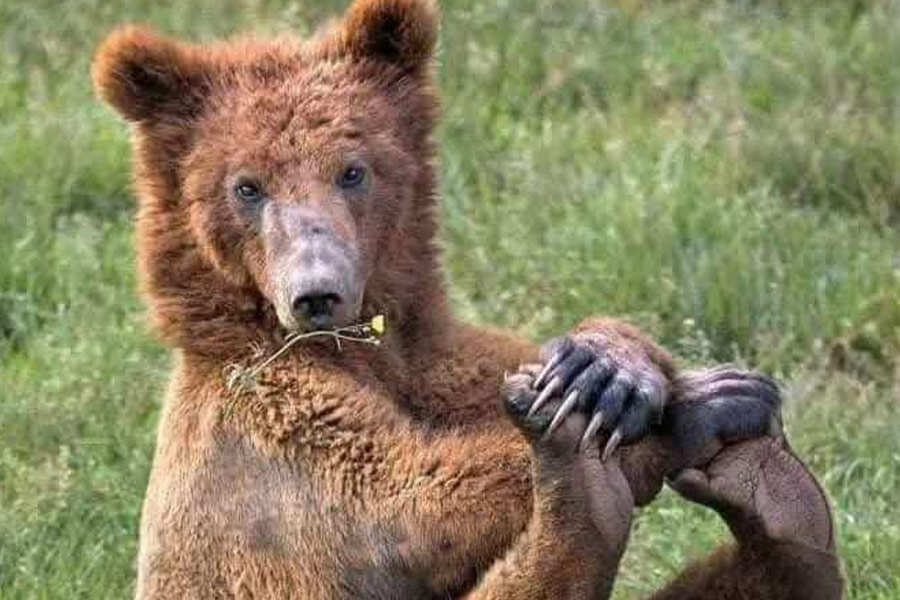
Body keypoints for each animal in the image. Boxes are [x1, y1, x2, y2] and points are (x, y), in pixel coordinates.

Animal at [92, 0, 843, 598]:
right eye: (247, 186)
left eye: (352, 171)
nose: (317, 293)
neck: (366, 354)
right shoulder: (261, 444)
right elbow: (405, 503)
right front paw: (692, 407)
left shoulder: (442, 362)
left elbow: (518, 367)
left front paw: (604, 371)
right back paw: (589, 475)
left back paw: (773, 492)